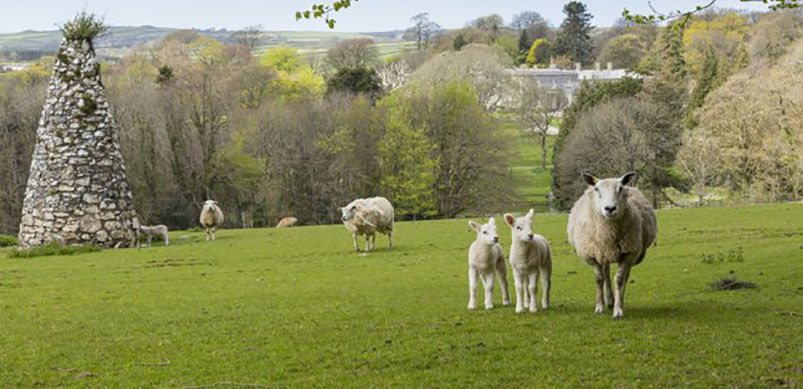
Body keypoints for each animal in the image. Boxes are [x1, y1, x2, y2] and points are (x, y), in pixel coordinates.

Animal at [564, 171, 660, 316]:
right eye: (597, 189)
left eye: (620, 188)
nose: (610, 209)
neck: (608, 234)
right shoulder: (592, 255)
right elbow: (599, 279)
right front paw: (599, 307)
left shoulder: (629, 253)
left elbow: (619, 280)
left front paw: (618, 309)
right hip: (603, 253)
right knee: (606, 273)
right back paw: (609, 300)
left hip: (632, 254)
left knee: (625, 276)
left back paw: (617, 300)